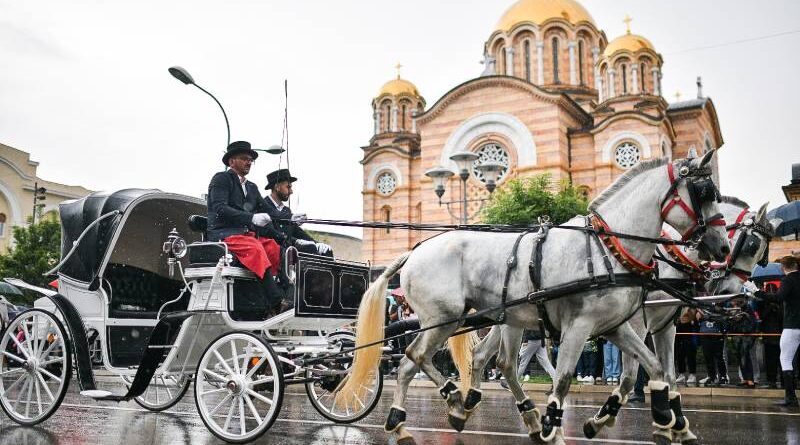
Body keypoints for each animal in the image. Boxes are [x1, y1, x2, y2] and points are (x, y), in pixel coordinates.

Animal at [338, 150, 732, 444]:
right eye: (703, 193)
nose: (723, 247)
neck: (608, 249)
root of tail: (414, 251)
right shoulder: (581, 327)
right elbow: (565, 377)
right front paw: (553, 427)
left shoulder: (617, 326)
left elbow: (655, 369)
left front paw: (665, 419)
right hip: (443, 320)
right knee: (412, 360)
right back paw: (414, 415)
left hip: (495, 319)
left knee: (495, 363)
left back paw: (485, 407)